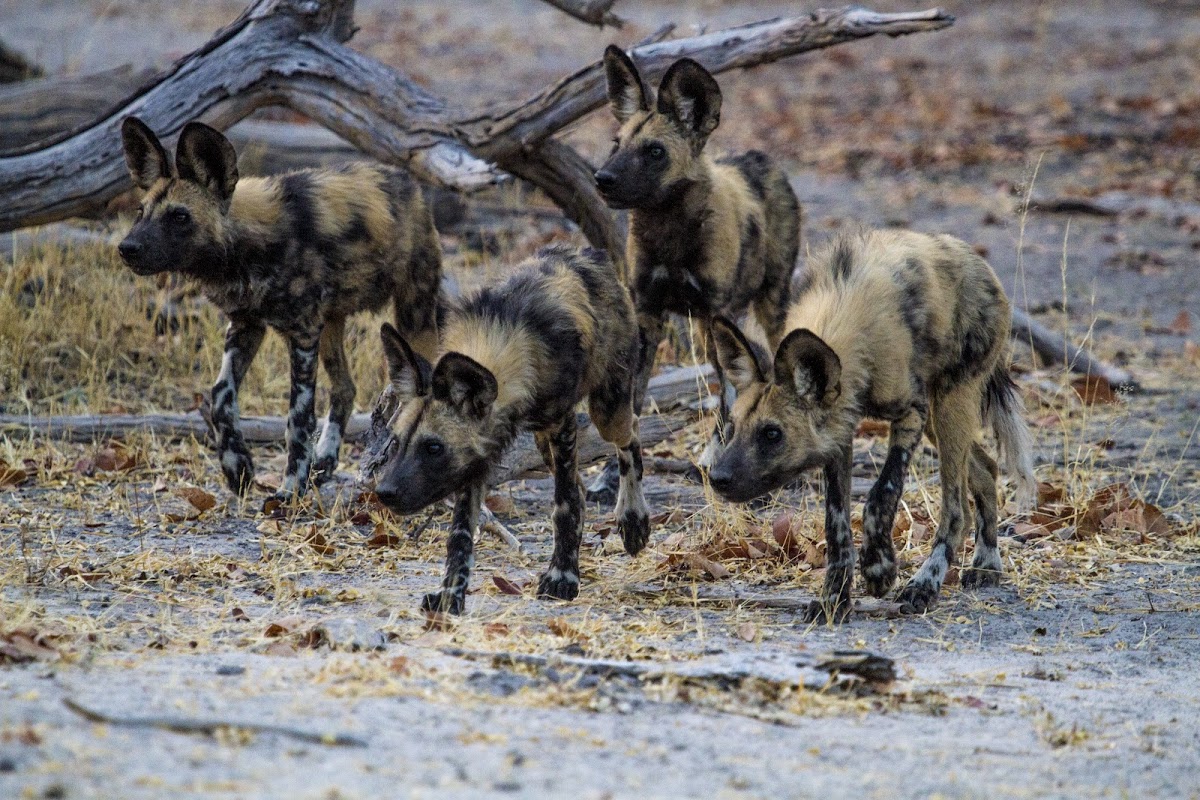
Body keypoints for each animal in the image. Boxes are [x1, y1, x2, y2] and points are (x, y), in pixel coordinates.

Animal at [118, 117, 441, 506]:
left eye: (179, 216)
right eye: (141, 212)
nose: (127, 248)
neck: (246, 246)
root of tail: (409, 183)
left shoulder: (301, 335)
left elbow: (297, 419)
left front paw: (289, 489)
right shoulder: (246, 326)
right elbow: (220, 398)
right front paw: (238, 468)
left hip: (412, 320)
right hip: (330, 327)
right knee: (345, 388)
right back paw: (324, 461)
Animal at [364, 244, 652, 614]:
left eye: (433, 448)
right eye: (396, 443)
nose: (384, 492)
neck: (509, 343)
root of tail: (586, 252)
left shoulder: (561, 424)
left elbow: (564, 505)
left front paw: (561, 578)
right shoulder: (475, 460)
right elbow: (459, 535)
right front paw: (451, 595)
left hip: (606, 410)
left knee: (629, 434)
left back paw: (633, 522)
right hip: (546, 441)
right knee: (581, 486)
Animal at [588, 47, 796, 496]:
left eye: (654, 152)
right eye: (616, 144)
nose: (602, 178)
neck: (668, 233)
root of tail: (759, 157)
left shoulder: (713, 312)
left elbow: (729, 397)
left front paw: (719, 459)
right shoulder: (646, 316)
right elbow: (632, 409)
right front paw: (615, 475)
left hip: (763, 307)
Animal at [705, 227, 1036, 623]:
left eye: (772, 434)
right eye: (732, 428)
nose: (718, 478)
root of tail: (978, 262)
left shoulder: (910, 412)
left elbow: (881, 494)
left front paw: (879, 570)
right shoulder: (840, 433)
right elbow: (837, 526)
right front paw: (834, 599)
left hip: (948, 406)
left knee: (956, 509)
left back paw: (925, 585)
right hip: (940, 419)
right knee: (985, 470)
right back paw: (986, 563)